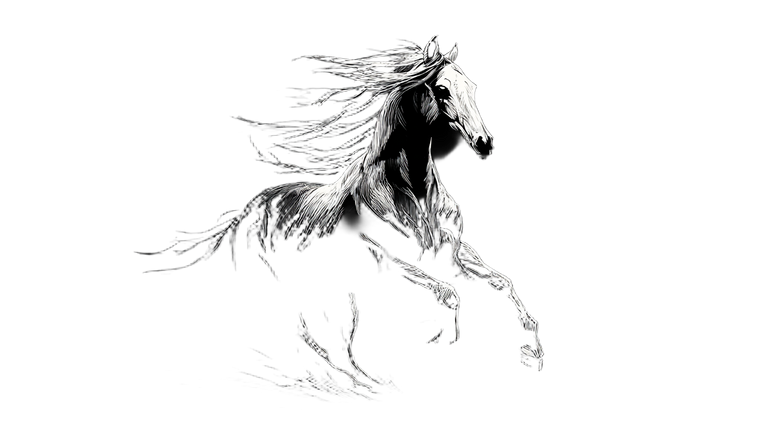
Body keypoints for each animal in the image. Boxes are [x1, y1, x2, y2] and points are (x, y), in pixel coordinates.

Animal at [137, 35, 545, 381]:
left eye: (472, 89)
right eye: (442, 90)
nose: (484, 143)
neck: (408, 191)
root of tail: (244, 215)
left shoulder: (452, 250)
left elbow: (501, 281)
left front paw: (532, 345)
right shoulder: (381, 258)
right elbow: (446, 293)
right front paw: (444, 339)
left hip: (325, 290)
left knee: (326, 334)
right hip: (278, 287)